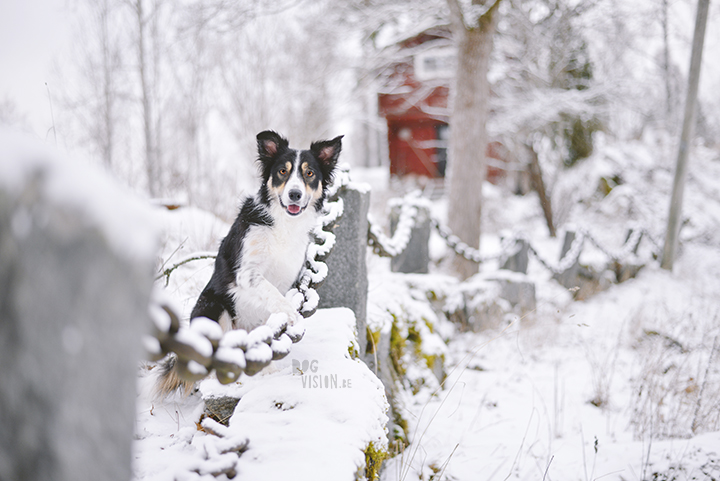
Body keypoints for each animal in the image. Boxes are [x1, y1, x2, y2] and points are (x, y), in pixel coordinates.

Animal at [157, 130, 340, 394]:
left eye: (309, 173)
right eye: (282, 171)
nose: (294, 194)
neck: (283, 222)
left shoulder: (288, 275)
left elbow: (274, 306)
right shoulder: (246, 272)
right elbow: (274, 294)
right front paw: (293, 315)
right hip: (214, 308)